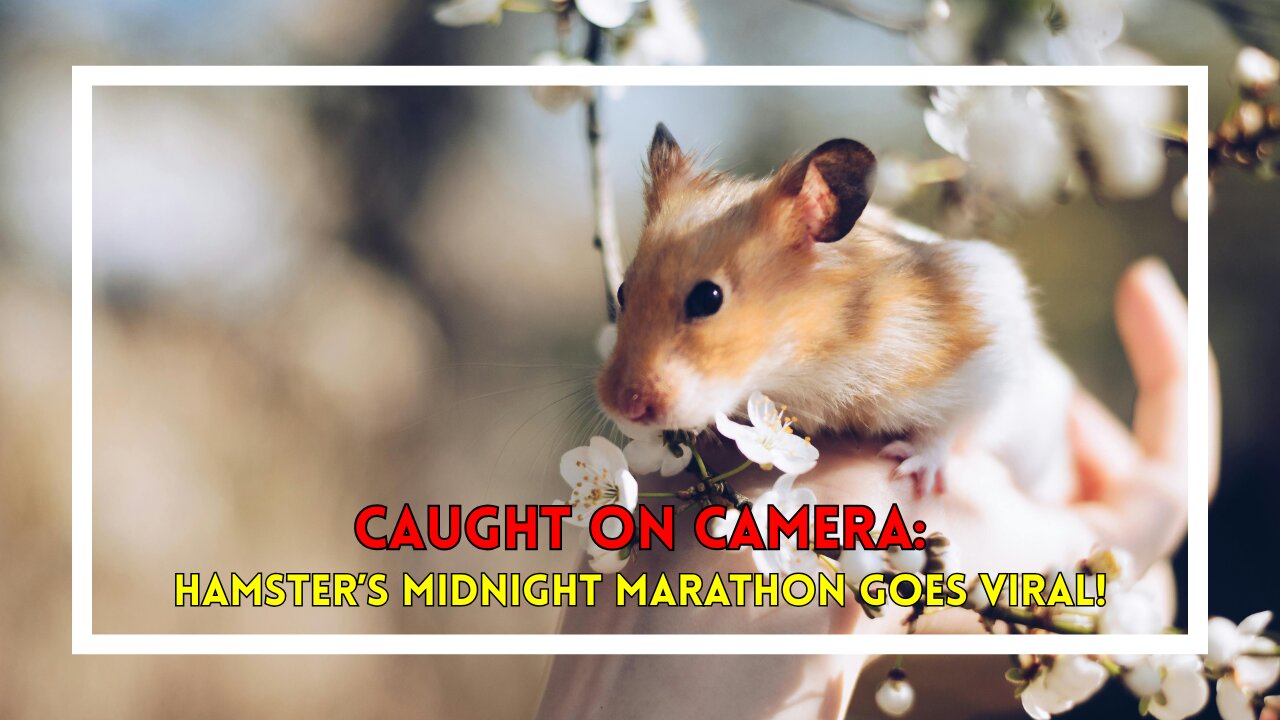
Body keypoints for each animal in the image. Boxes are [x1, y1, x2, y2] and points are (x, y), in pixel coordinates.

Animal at [596, 123, 1074, 500]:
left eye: (707, 298)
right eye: (621, 291)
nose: (621, 406)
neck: (809, 360)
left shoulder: (990, 352)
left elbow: (952, 425)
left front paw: (911, 470)